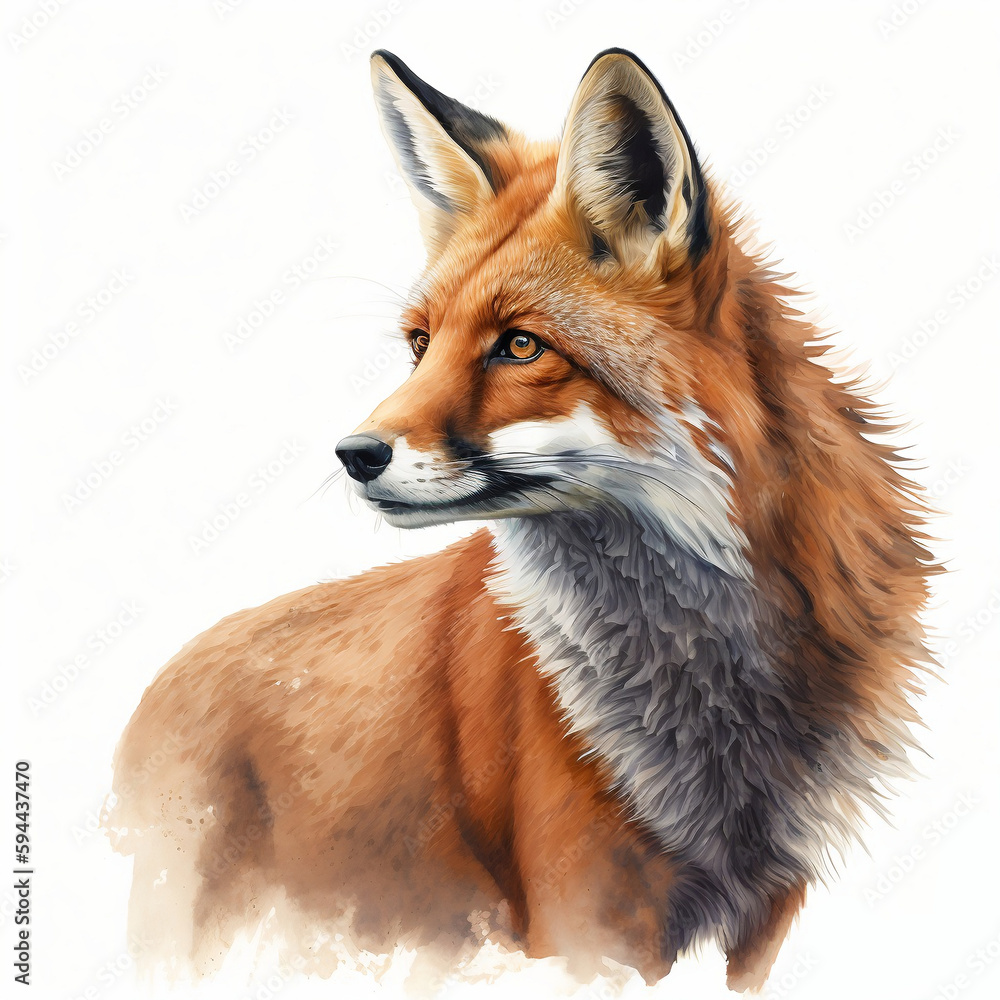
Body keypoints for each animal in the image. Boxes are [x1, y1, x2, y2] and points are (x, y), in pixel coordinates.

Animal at [107, 49, 935, 992]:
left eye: (520, 345)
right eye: (420, 344)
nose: (353, 454)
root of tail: (161, 680)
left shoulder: (762, 918)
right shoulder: (585, 921)